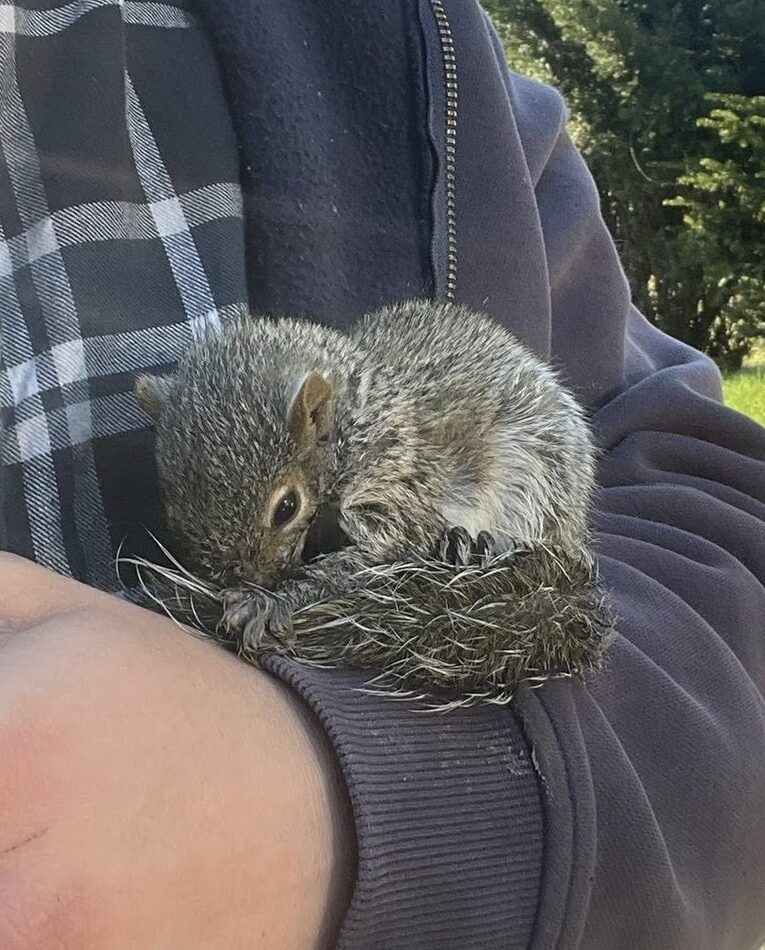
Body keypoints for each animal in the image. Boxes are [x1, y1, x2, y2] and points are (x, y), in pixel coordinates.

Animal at [135, 300, 605, 699]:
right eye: (172, 507)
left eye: (286, 508)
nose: (253, 579)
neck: (355, 416)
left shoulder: (398, 479)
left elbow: (381, 553)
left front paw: (271, 602)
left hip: (547, 476)